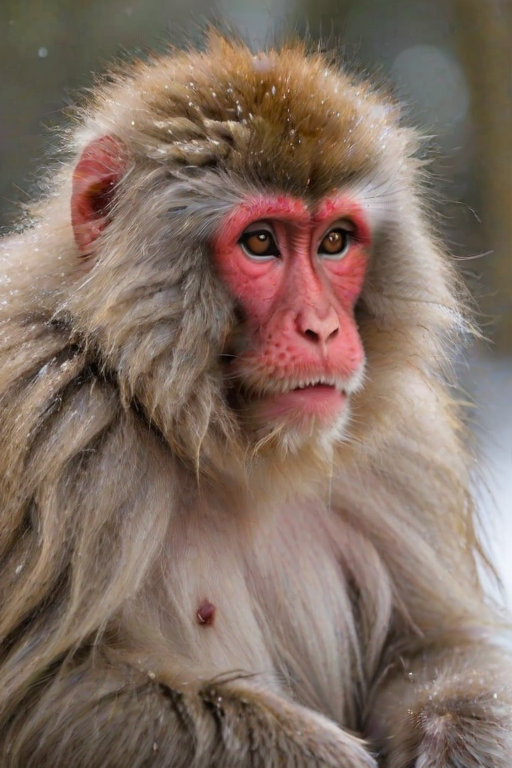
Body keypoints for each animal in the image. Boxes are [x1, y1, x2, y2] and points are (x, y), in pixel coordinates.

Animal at [0, 30, 509, 768]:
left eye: (335, 241)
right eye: (261, 242)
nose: (323, 328)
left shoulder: (403, 447)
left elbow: (434, 646)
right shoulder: (48, 410)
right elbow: (44, 694)